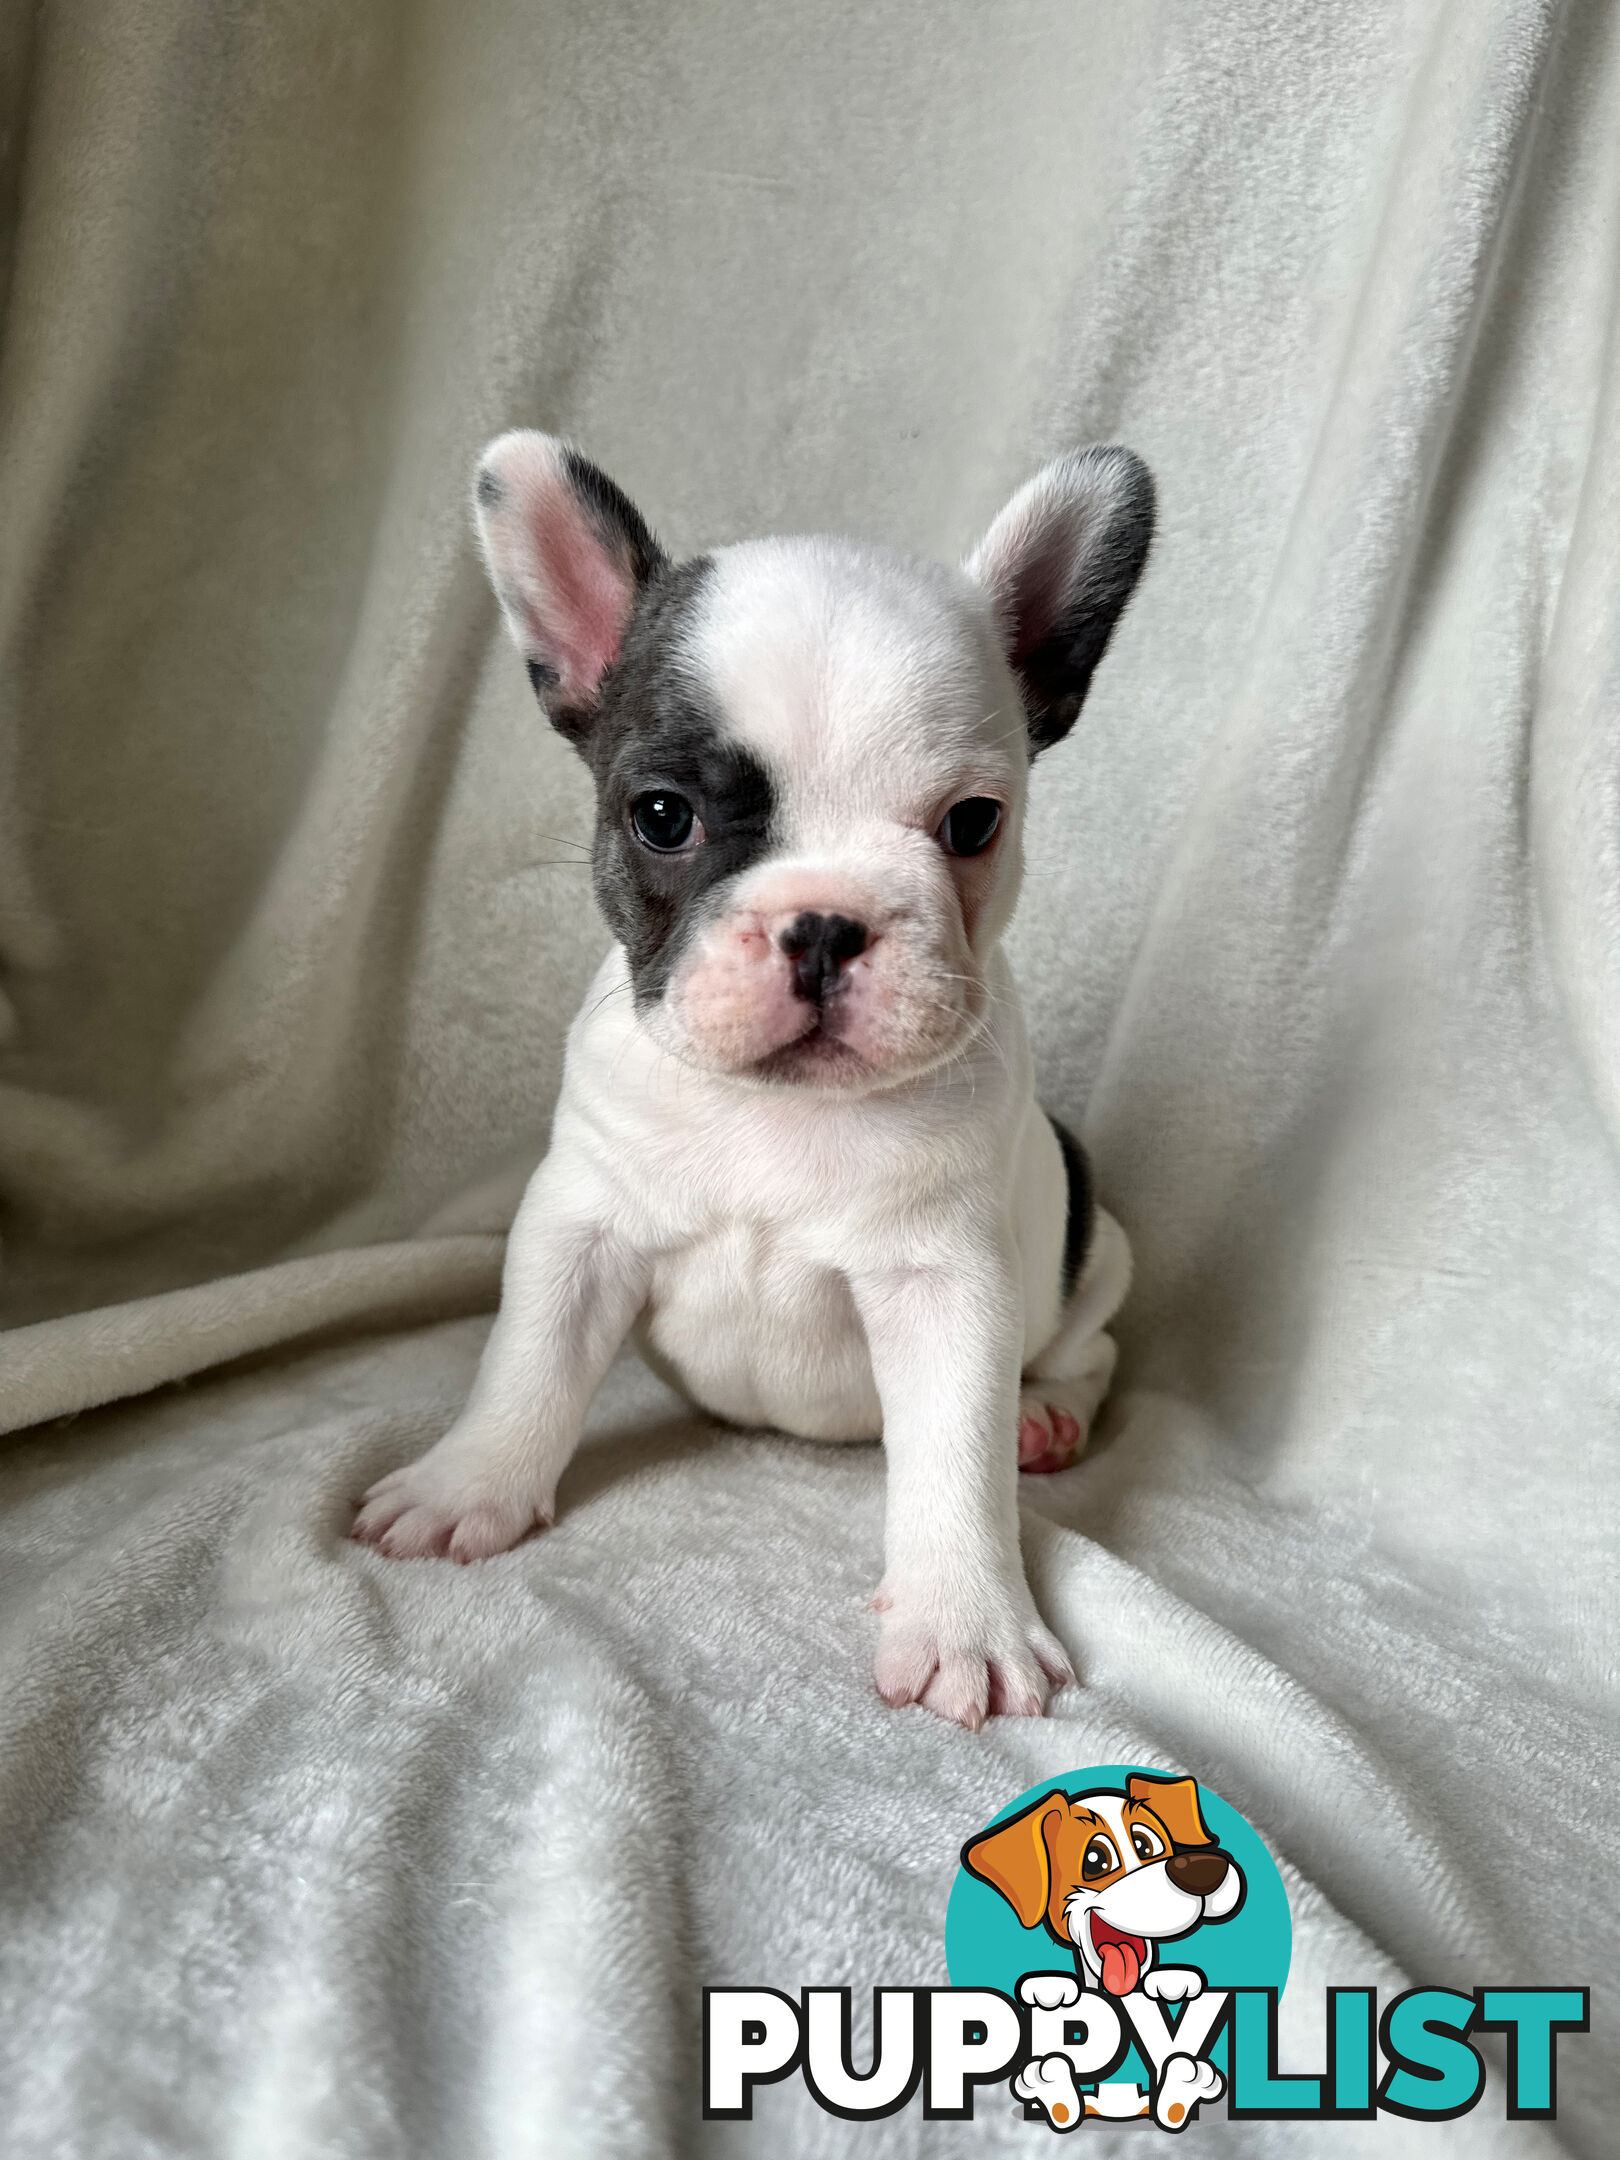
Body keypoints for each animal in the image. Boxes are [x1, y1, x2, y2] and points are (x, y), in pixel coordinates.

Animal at [354, 429, 1157, 1728]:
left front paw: (966, 1619)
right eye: (662, 816)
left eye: (973, 823)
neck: (781, 1109)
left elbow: (956, 1462)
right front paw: (465, 1485)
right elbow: (526, 1364)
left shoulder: (948, 1287)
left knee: (1093, 1354)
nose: (823, 924)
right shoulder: (578, 1228)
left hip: (1099, 1250)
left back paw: (1047, 1418)